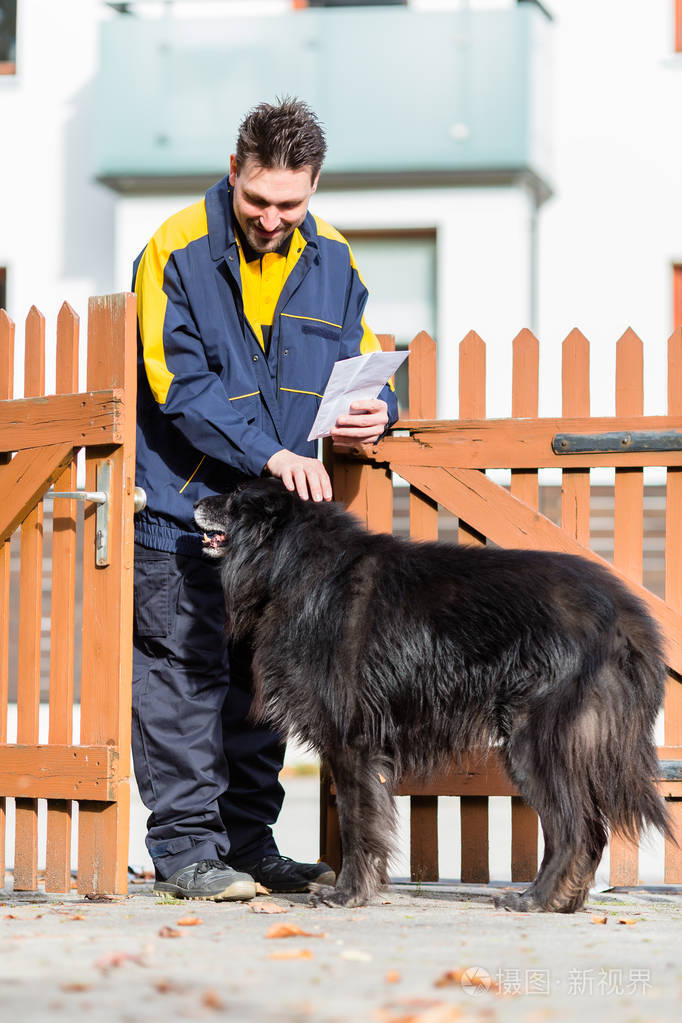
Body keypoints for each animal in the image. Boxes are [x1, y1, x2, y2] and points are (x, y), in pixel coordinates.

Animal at [193, 478, 670, 912]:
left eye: (235, 497)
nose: (195, 501)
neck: (298, 563)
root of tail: (623, 612)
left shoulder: (351, 742)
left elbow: (355, 822)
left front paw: (347, 894)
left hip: (535, 741)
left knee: (575, 829)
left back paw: (535, 900)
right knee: (591, 831)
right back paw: (563, 901)